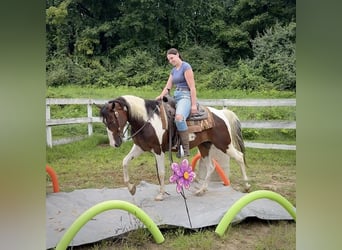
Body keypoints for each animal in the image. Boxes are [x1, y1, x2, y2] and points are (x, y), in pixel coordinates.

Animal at [97, 94, 250, 201]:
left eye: (112, 120)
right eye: (104, 122)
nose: (114, 144)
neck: (146, 120)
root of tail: (221, 113)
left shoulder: (158, 150)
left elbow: (161, 172)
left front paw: (161, 195)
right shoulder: (139, 147)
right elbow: (125, 162)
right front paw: (131, 188)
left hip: (224, 144)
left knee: (240, 157)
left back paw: (247, 186)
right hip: (204, 146)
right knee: (211, 167)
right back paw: (201, 190)